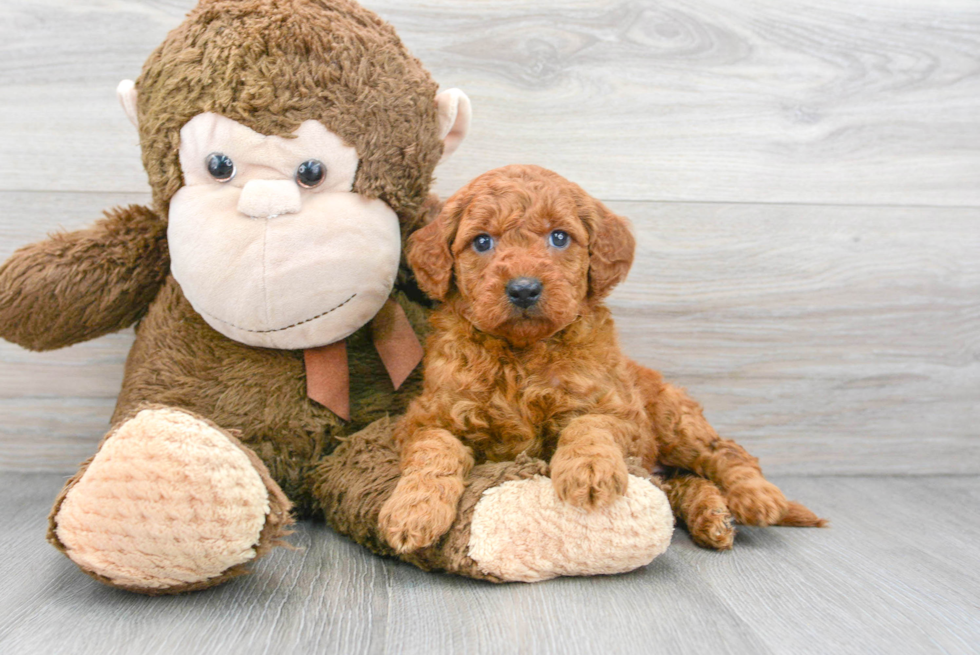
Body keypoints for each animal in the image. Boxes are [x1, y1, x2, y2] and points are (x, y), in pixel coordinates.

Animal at [378, 165, 824, 552]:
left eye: (559, 238)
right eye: (483, 242)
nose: (524, 289)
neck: (522, 353)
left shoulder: (622, 413)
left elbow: (589, 425)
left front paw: (588, 471)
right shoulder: (426, 418)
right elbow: (435, 451)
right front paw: (412, 511)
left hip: (674, 422)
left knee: (725, 451)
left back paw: (757, 498)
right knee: (682, 482)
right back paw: (711, 516)